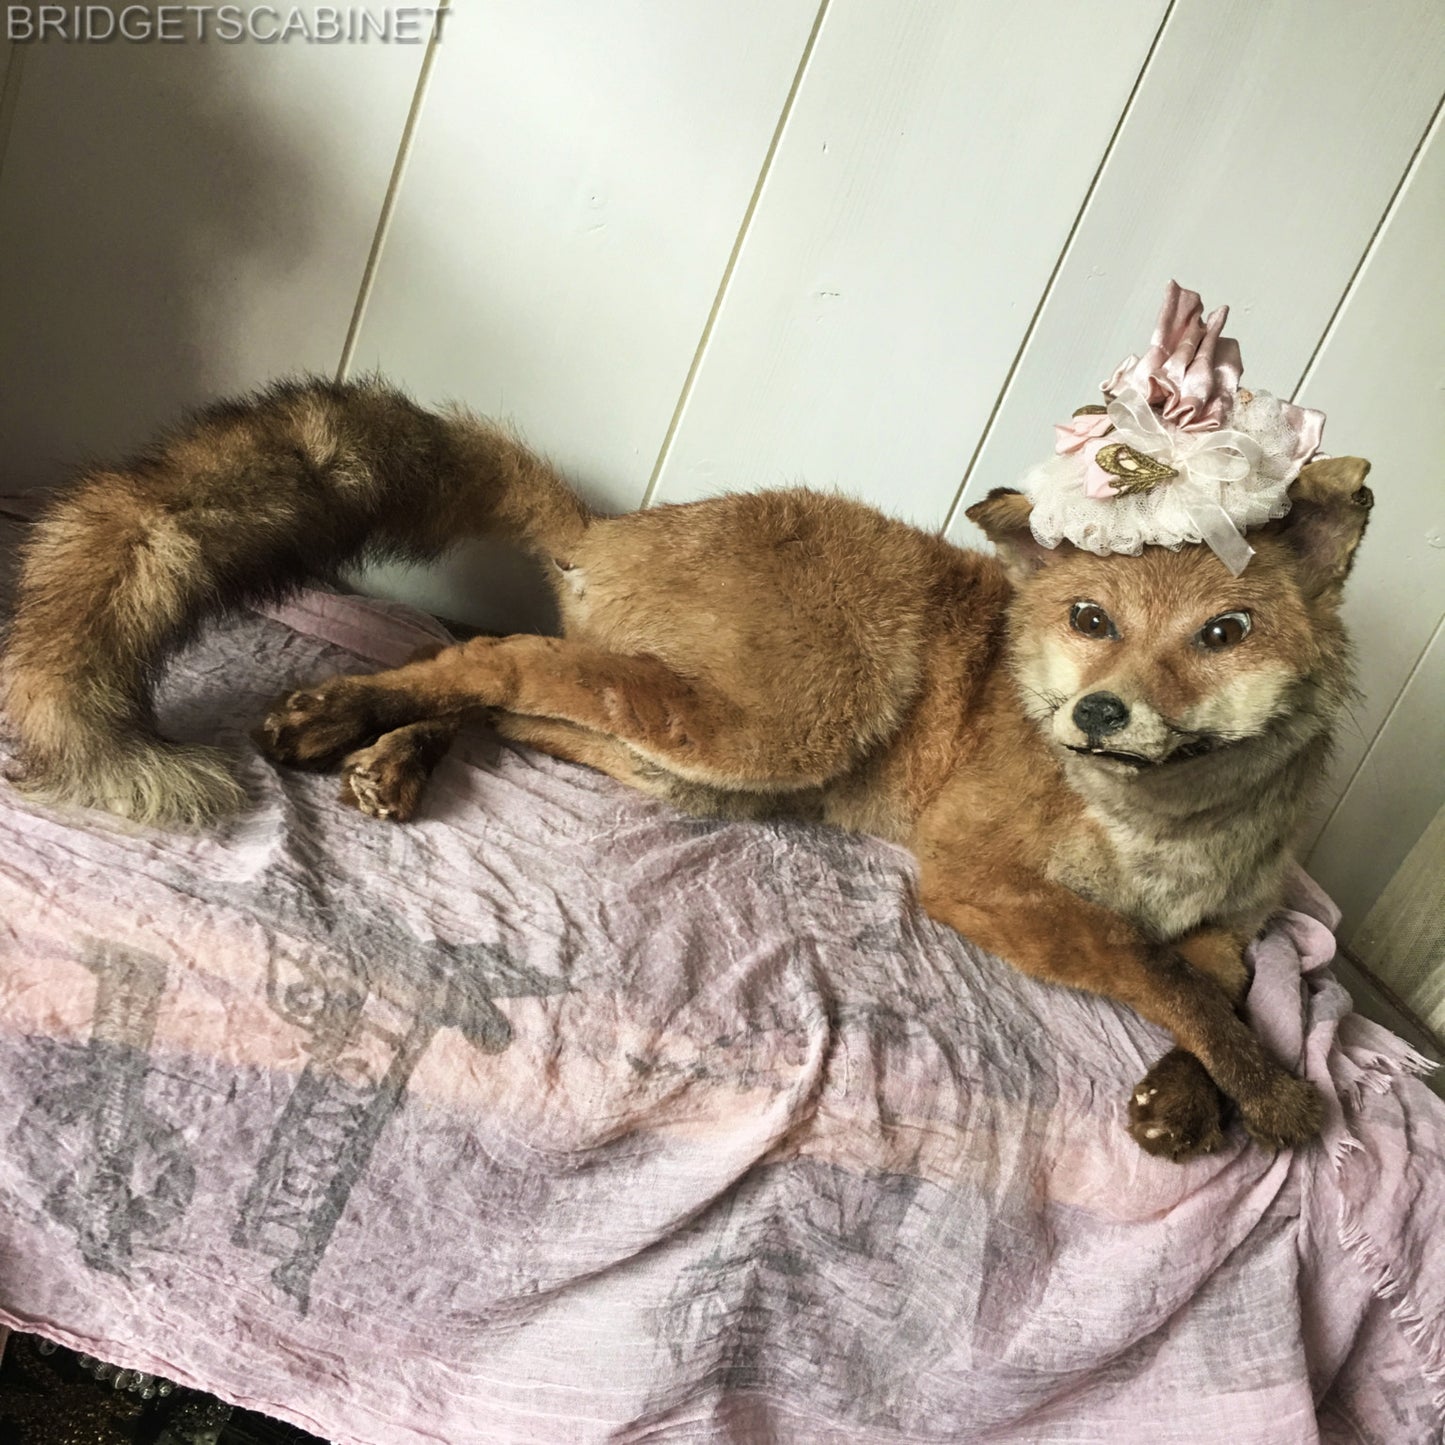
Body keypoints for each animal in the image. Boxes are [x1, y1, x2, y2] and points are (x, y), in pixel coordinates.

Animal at [0, 375, 1372, 1161]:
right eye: (1089, 617)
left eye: (1223, 632)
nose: (1097, 712)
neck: (1158, 840)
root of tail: (624, 525)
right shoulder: (972, 881)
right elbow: (1155, 976)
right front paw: (1273, 1100)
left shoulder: (1226, 924)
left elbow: (1220, 987)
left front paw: (1194, 1100)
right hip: (766, 730)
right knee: (497, 652)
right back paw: (344, 712)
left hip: (688, 765)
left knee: (511, 685)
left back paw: (391, 750)